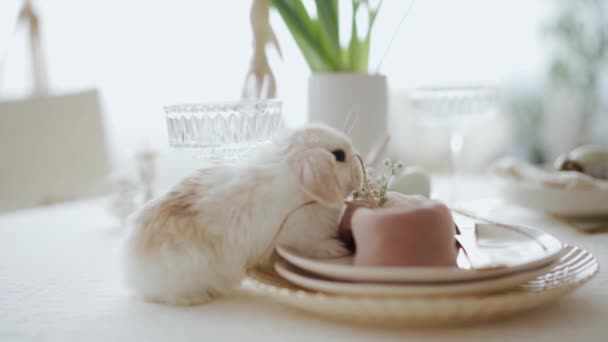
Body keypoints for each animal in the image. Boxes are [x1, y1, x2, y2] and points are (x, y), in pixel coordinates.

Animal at [123, 124, 360, 306]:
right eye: (339, 155)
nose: (359, 169)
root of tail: (133, 272)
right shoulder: (295, 237)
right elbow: (309, 246)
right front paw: (334, 248)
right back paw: (196, 299)